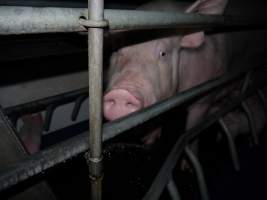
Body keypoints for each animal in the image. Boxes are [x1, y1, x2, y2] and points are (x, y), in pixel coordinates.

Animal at [103, 0, 229, 145]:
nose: (121, 93)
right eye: (117, 50)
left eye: (163, 53)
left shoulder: (204, 98)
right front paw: (148, 141)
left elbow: (191, 133)